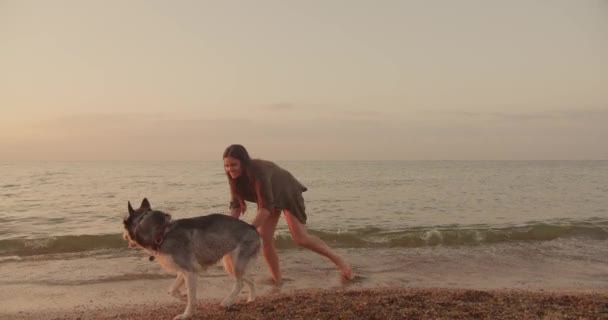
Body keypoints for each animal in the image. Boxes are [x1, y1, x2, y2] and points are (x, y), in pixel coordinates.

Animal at [122, 199, 260, 318]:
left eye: (124, 223)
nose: (123, 237)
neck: (162, 233)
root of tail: (252, 227)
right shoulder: (183, 271)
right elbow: (172, 290)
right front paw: (183, 297)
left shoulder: (190, 272)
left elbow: (191, 298)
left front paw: (186, 315)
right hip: (230, 265)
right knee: (250, 279)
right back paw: (251, 299)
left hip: (236, 265)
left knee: (240, 283)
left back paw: (227, 301)